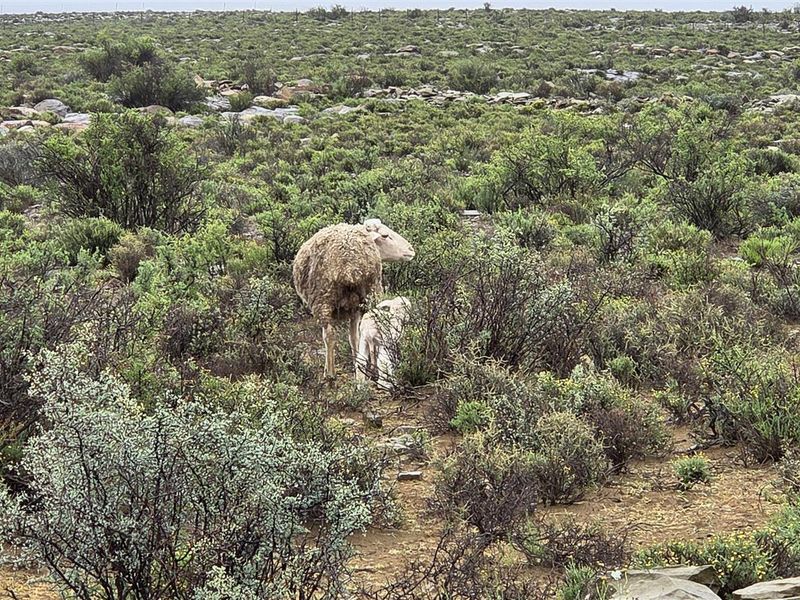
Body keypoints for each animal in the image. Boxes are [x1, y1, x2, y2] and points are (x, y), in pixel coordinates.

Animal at [292, 219, 415, 379]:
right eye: (385, 235)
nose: (411, 250)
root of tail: (347, 262)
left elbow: (349, 337)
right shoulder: (355, 307)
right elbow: (355, 337)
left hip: (324, 300)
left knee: (330, 335)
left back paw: (331, 373)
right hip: (362, 295)